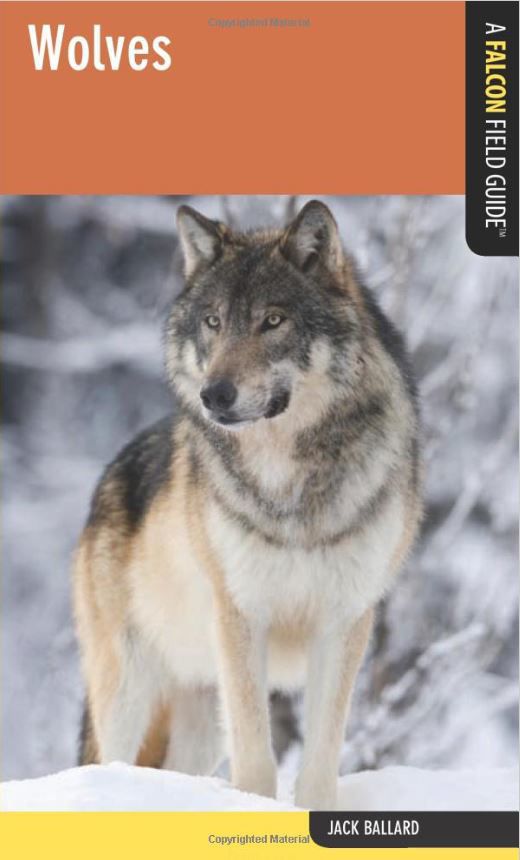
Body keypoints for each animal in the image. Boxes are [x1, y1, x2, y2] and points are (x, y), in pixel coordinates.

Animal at [74, 200, 422, 810]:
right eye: (213, 322)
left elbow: (321, 759)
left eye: (273, 321)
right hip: (128, 691)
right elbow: (257, 757)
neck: (291, 482)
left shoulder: (344, 622)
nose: (214, 395)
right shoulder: (241, 616)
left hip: (198, 717)